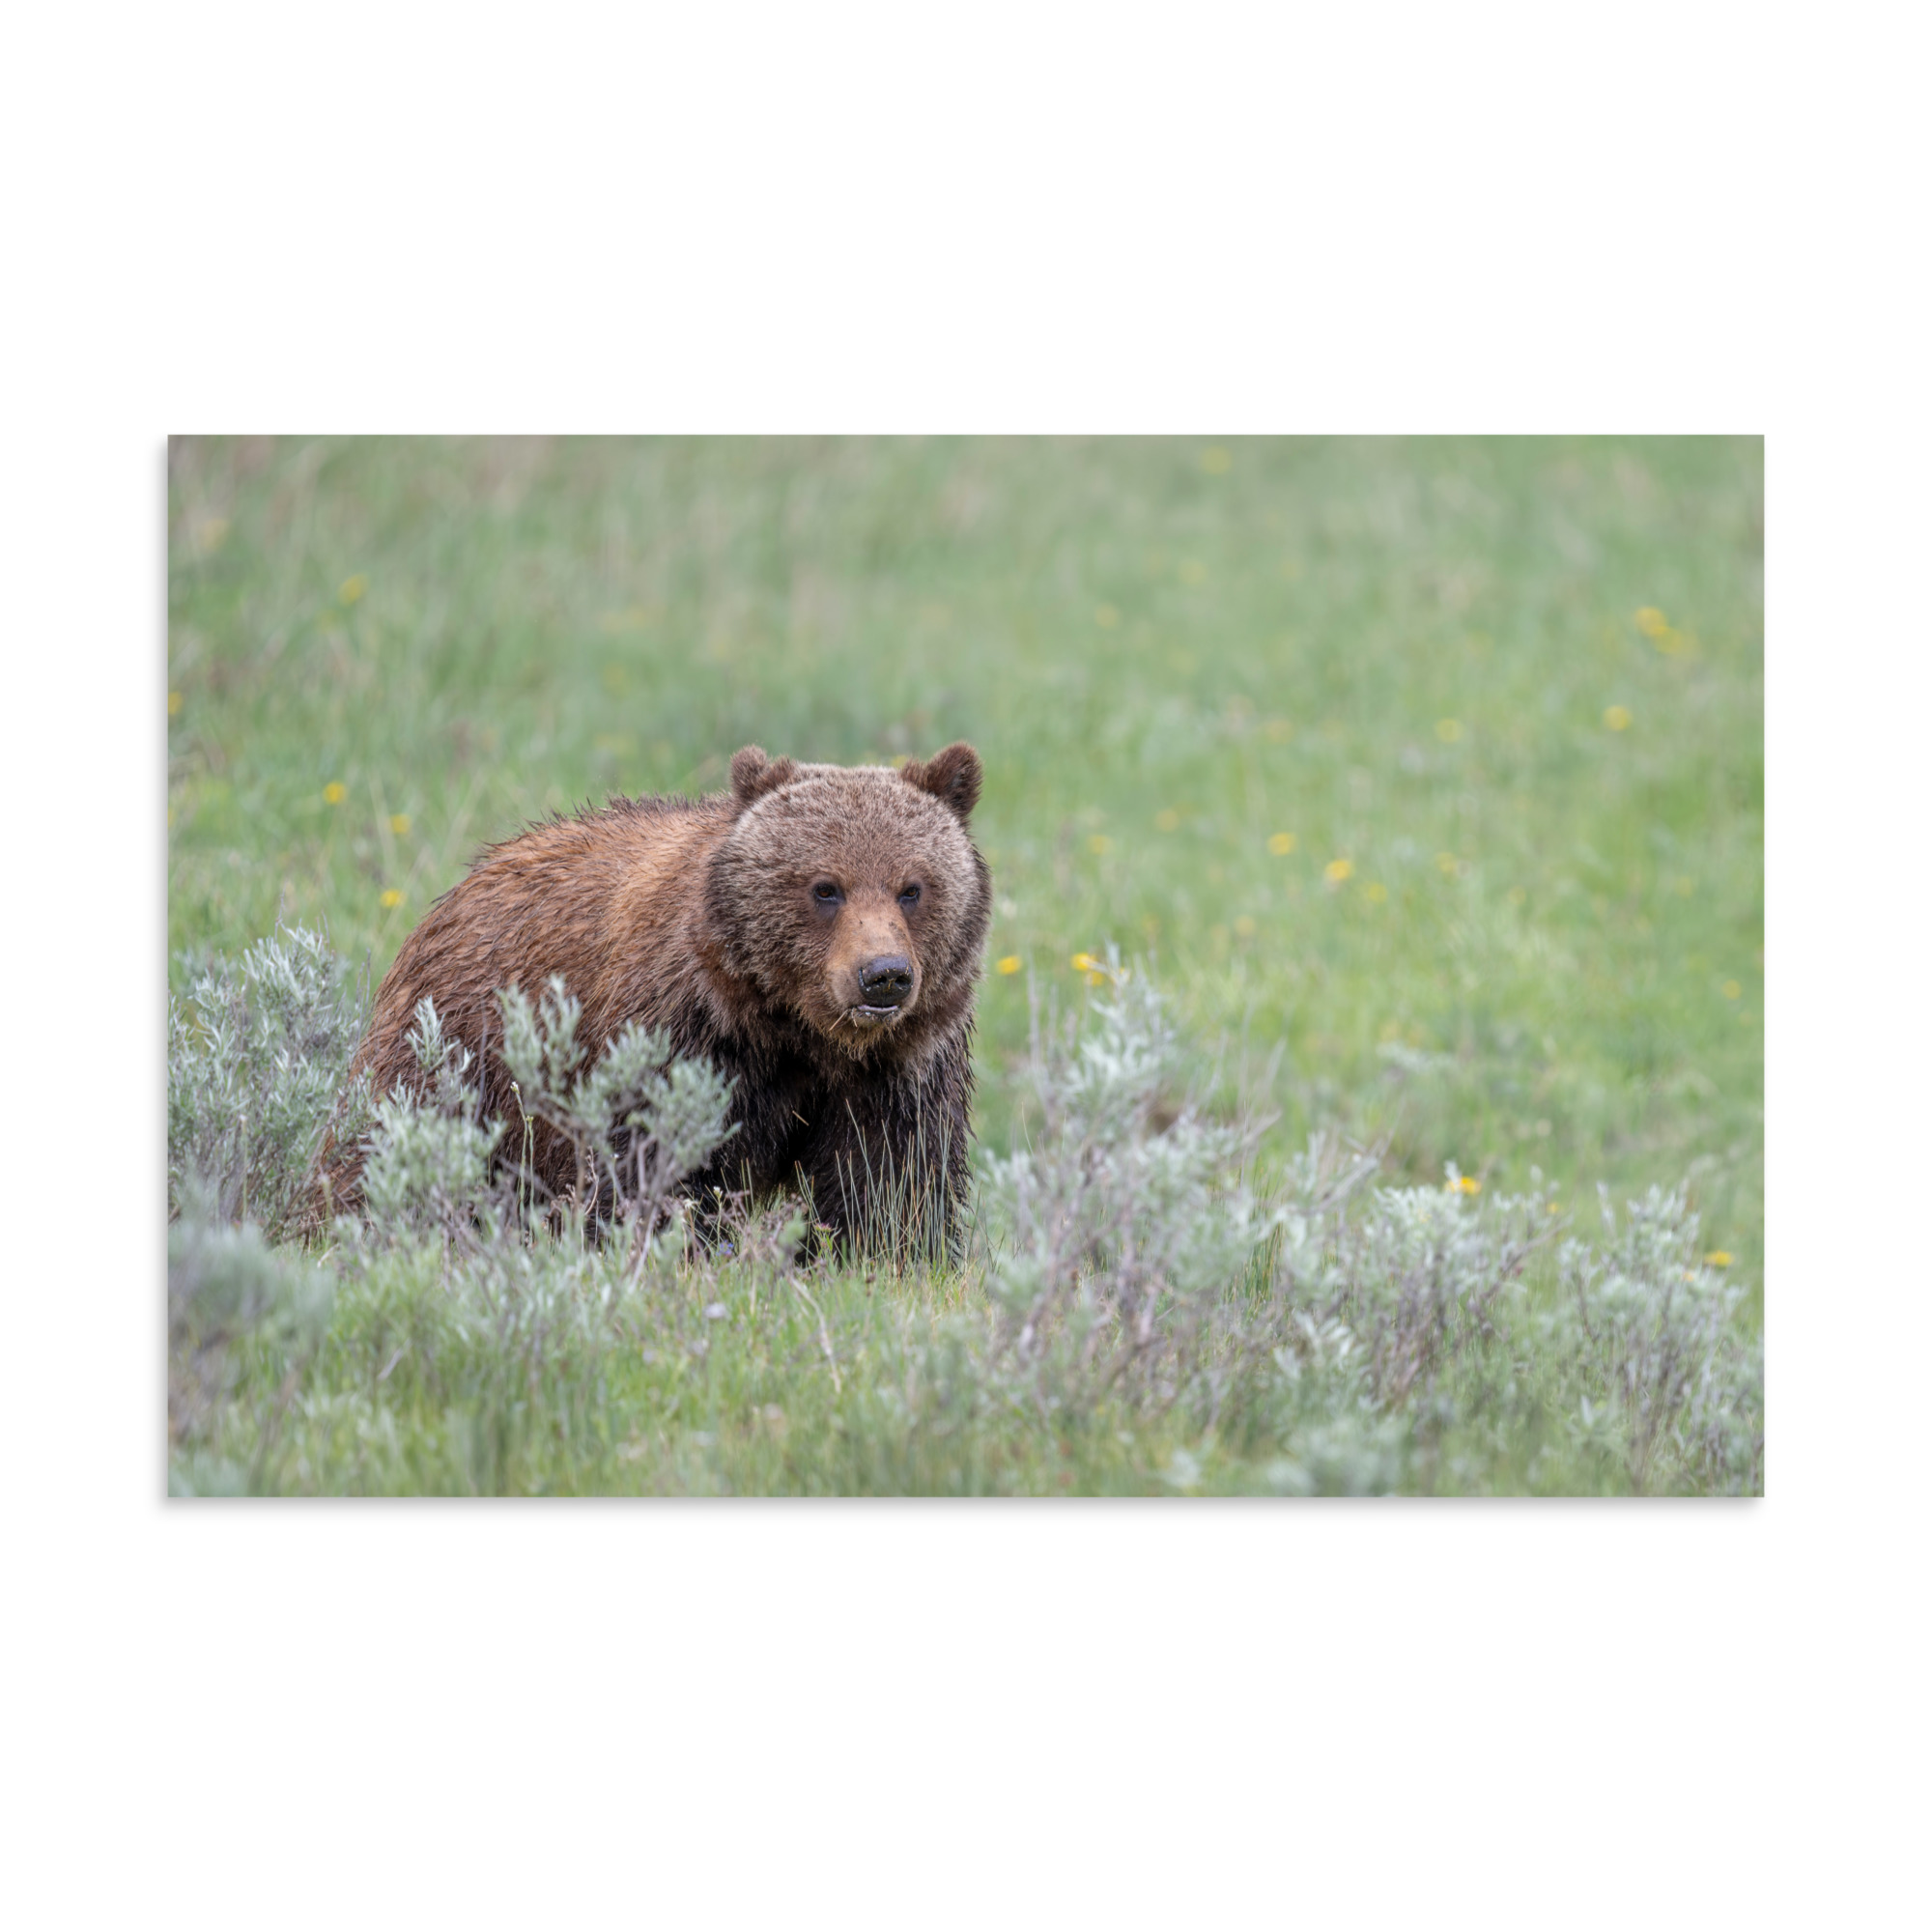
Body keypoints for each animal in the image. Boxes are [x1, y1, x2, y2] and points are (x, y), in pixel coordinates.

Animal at [313, 742, 991, 1253]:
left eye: (912, 887)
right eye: (826, 887)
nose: (883, 975)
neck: (796, 1030)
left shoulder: (899, 1067)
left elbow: (889, 1182)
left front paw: (883, 1256)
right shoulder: (682, 1036)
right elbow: (651, 1165)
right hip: (458, 1048)